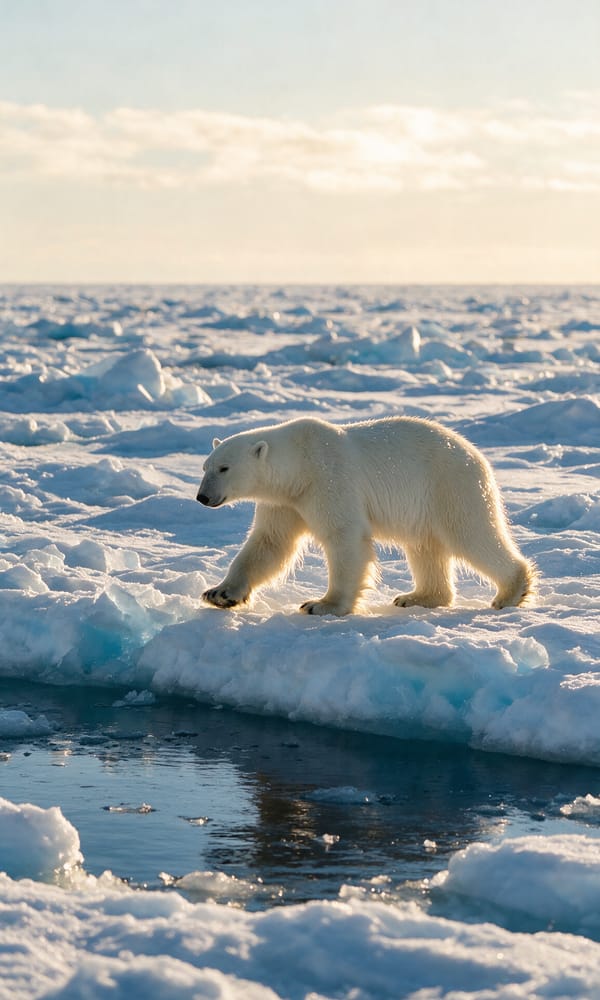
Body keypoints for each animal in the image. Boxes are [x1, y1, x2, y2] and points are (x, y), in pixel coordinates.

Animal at [196, 415, 536, 616]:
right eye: (205, 467)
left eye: (224, 468)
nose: (202, 497)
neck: (299, 465)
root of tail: (477, 455)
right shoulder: (286, 501)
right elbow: (269, 543)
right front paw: (219, 593)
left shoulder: (329, 479)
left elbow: (344, 537)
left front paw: (322, 604)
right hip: (426, 505)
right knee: (425, 547)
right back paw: (417, 596)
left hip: (450, 487)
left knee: (472, 535)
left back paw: (511, 592)